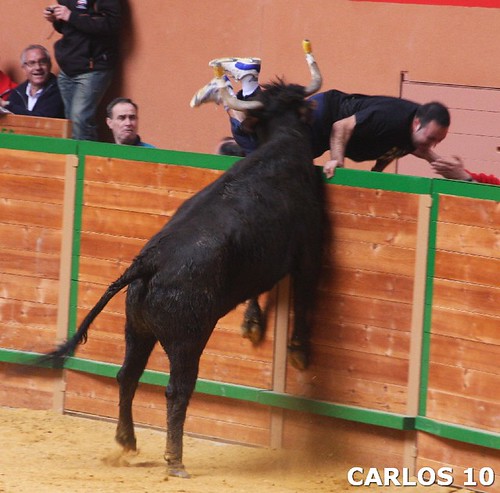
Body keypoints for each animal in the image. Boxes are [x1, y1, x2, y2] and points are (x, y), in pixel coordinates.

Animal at [41, 49, 326, 472]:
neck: (282, 141)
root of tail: (147, 263)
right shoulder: (307, 249)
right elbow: (304, 295)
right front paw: (299, 352)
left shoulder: (263, 261)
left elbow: (260, 288)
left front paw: (252, 324)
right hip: (188, 338)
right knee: (177, 389)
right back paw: (174, 459)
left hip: (136, 329)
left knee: (127, 375)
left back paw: (127, 441)